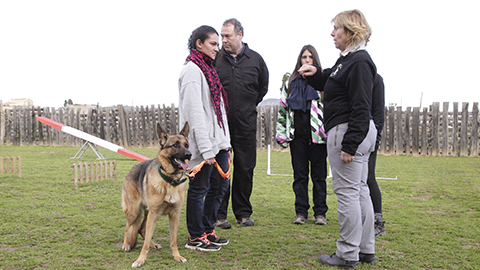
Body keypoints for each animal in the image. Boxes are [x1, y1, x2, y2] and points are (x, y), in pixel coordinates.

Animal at [122, 122, 191, 268]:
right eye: (175, 145)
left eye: (186, 145)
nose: (189, 154)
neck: (170, 181)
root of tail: (130, 171)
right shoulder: (153, 214)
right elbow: (144, 244)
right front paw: (140, 260)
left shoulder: (174, 215)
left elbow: (173, 240)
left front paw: (176, 256)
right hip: (134, 212)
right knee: (128, 228)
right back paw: (126, 245)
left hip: (147, 213)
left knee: (141, 229)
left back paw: (153, 244)